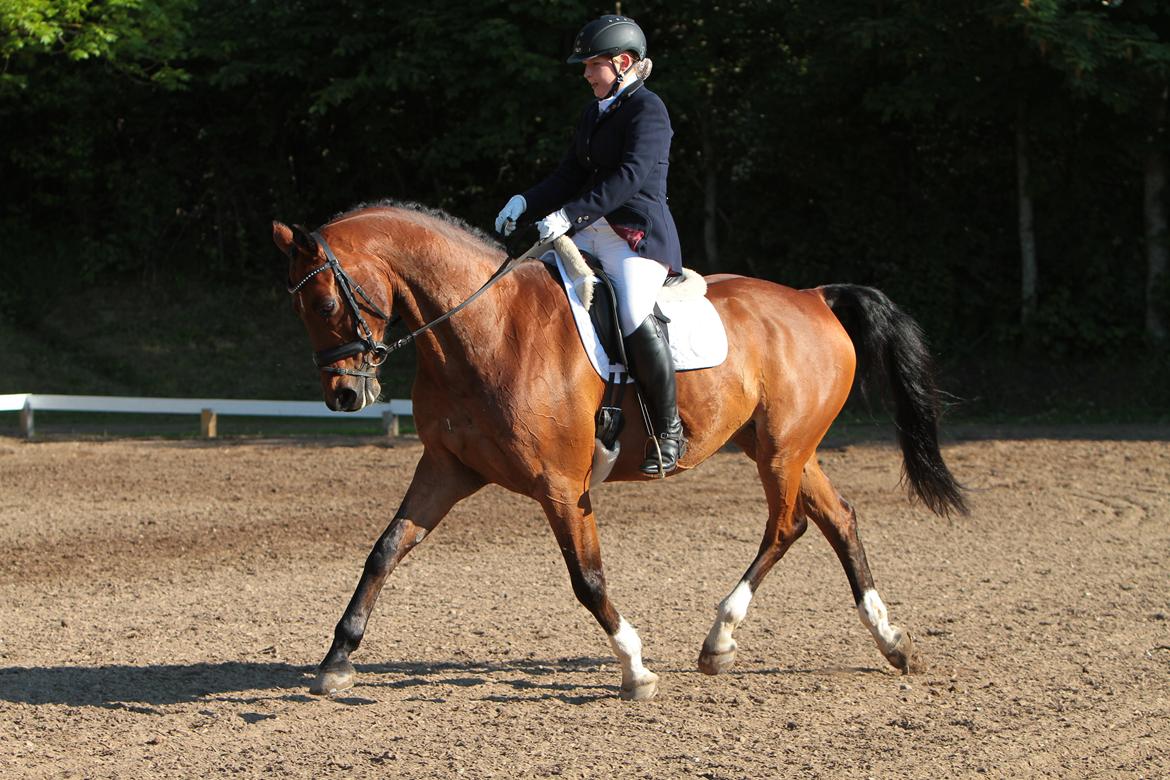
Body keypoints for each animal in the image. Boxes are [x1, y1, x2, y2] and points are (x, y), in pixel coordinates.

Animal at [272, 201, 967, 701]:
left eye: (325, 301)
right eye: (299, 309)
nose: (343, 396)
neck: (484, 330)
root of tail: (814, 296)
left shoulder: (560, 485)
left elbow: (587, 578)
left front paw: (634, 666)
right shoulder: (447, 468)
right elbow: (384, 551)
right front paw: (336, 660)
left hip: (779, 451)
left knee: (787, 524)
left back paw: (720, 640)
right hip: (787, 448)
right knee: (837, 518)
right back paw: (891, 641)